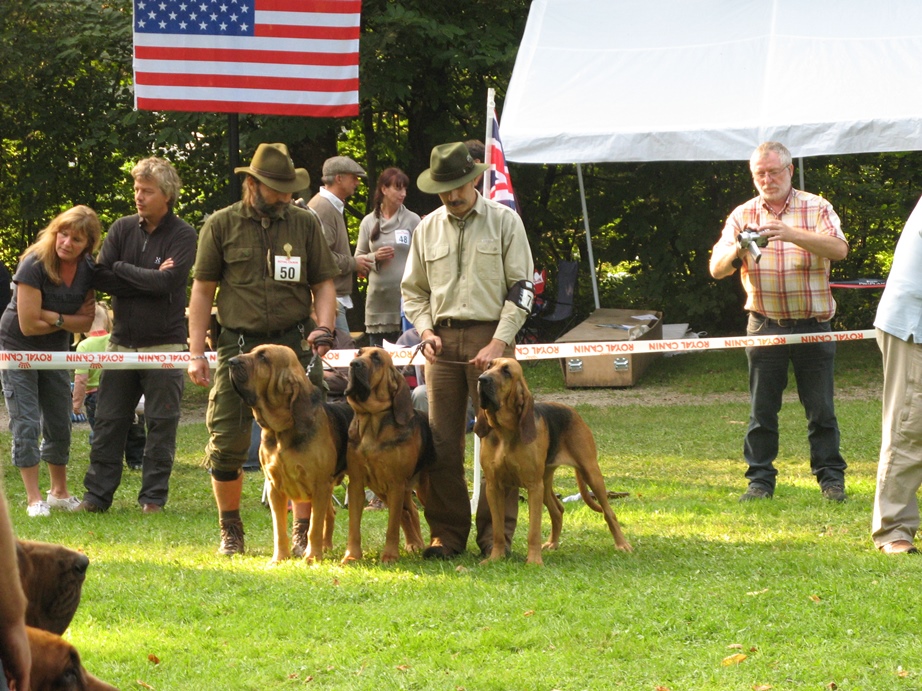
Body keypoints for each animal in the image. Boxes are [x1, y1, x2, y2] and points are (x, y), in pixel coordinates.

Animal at [229, 344, 352, 564]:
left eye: (263, 358)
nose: (230, 361)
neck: (282, 430)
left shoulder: (319, 486)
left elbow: (313, 527)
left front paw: (311, 557)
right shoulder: (274, 488)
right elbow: (279, 529)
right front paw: (279, 558)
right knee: (330, 513)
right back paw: (326, 547)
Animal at [344, 346, 434, 564]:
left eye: (377, 359)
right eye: (358, 353)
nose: (354, 364)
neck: (371, 421)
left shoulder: (395, 483)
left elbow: (392, 525)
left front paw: (390, 555)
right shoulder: (357, 484)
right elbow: (354, 526)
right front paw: (352, 556)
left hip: (421, 489)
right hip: (383, 489)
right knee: (411, 512)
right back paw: (414, 544)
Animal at [474, 360, 632, 564]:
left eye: (507, 371)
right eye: (488, 366)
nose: (482, 379)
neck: (504, 432)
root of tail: (571, 410)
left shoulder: (533, 486)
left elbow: (533, 531)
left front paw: (534, 561)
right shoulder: (494, 487)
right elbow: (497, 531)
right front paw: (495, 558)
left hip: (590, 473)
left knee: (608, 512)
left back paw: (622, 544)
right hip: (546, 482)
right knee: (558, 510)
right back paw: (553, 543)